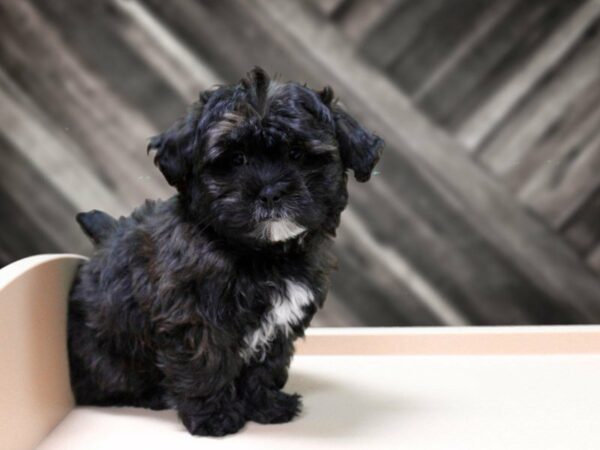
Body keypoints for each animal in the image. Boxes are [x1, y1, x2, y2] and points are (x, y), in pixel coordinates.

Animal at [67, 67, 384, 436]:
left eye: (297, 155)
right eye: (236, 159)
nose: (270, 192)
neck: (262, 254)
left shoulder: (280, 322)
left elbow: (265, 363)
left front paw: (265, 405)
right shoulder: (194, 318)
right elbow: (205, 364)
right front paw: (214, 417)